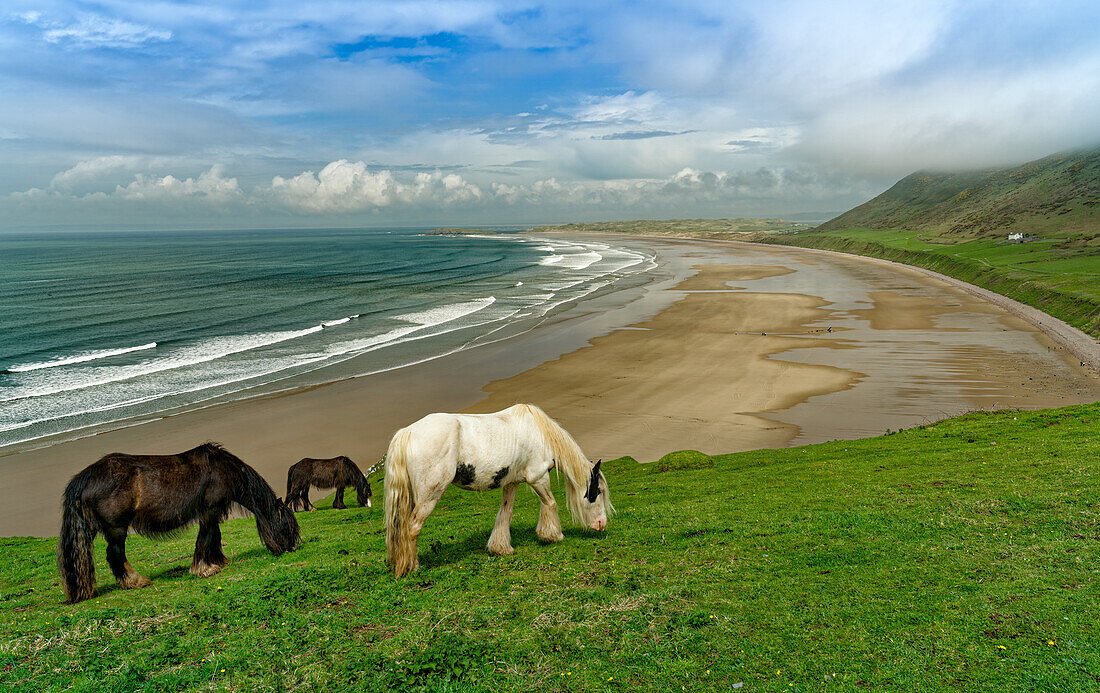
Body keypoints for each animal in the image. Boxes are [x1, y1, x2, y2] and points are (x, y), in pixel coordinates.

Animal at [55, 444, 297, 602]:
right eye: (286, 525)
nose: (292, 549)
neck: (223, 470)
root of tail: (85, 477)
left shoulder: (212, 511)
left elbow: (214, 536)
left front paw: (218, 561)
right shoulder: (210, 510)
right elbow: (206, 537)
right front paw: (204, 569)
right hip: (116, 528)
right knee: (115, 554)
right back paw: (136, 581)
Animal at [385, 404, 611, 576]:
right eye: (596, 492)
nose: (602, 524)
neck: (539, 433)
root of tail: (408, 432)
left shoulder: (511, 483)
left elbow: (505, 514)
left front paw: (500, 548)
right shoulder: (538, 477)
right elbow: (550, 504)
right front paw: (553, 536)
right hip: (429, 496)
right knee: (412, 528)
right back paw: (413, 567)